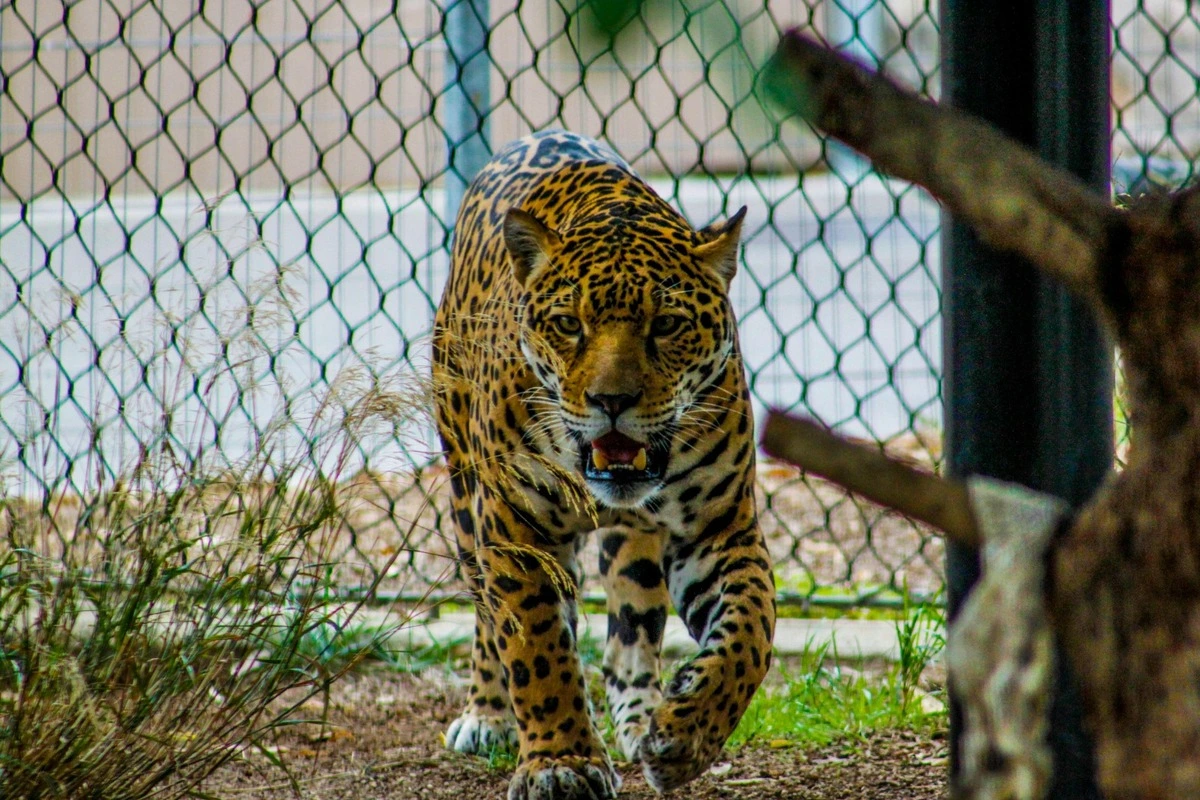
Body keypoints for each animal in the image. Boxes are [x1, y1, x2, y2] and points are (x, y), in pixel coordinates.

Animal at [431, 131, 776, 800]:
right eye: (569, 324)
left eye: (666, 324)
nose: (611, 401)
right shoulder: (515, 527)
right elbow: (536, 649)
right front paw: (560, 762)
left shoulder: (719, 528)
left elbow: (752, 629)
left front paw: (686, 732)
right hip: (465, 493)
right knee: (488, 616)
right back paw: (488, 716)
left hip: (634, 545)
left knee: (630, 633)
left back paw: (641, 719)